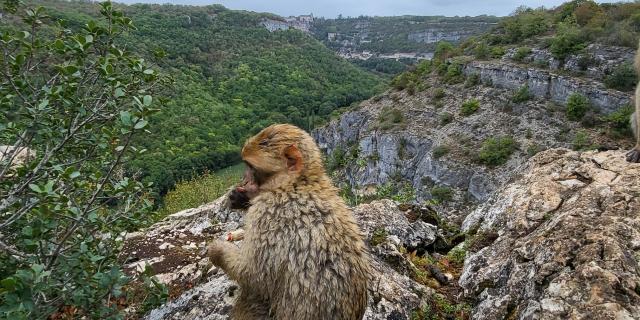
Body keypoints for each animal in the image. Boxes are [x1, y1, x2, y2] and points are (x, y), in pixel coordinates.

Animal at [209, 124, 370, 318]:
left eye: (249, 167)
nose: (244, 180)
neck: (298, 183)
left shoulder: (267, 214)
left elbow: (253, 276)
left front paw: (217, 250)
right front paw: (239, 197)